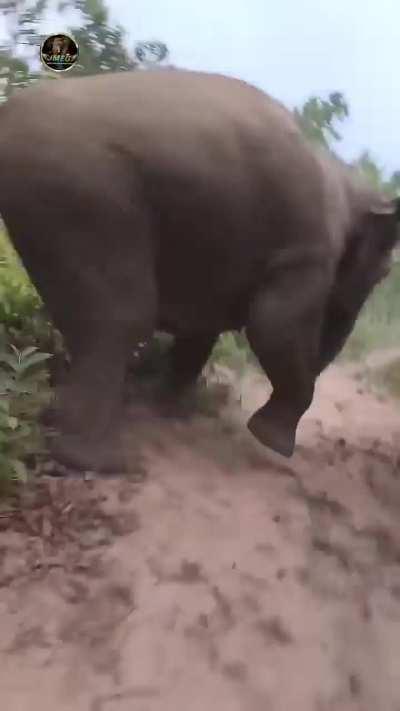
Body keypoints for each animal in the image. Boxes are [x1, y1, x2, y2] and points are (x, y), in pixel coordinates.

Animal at [0, 69, 398, 471]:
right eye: (382, 274)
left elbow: (204, 327)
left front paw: (168, 410)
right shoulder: (308, 250)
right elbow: (273, 325)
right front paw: (270, 441)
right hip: (87, 195)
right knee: (123, 318)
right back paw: (103, 462)